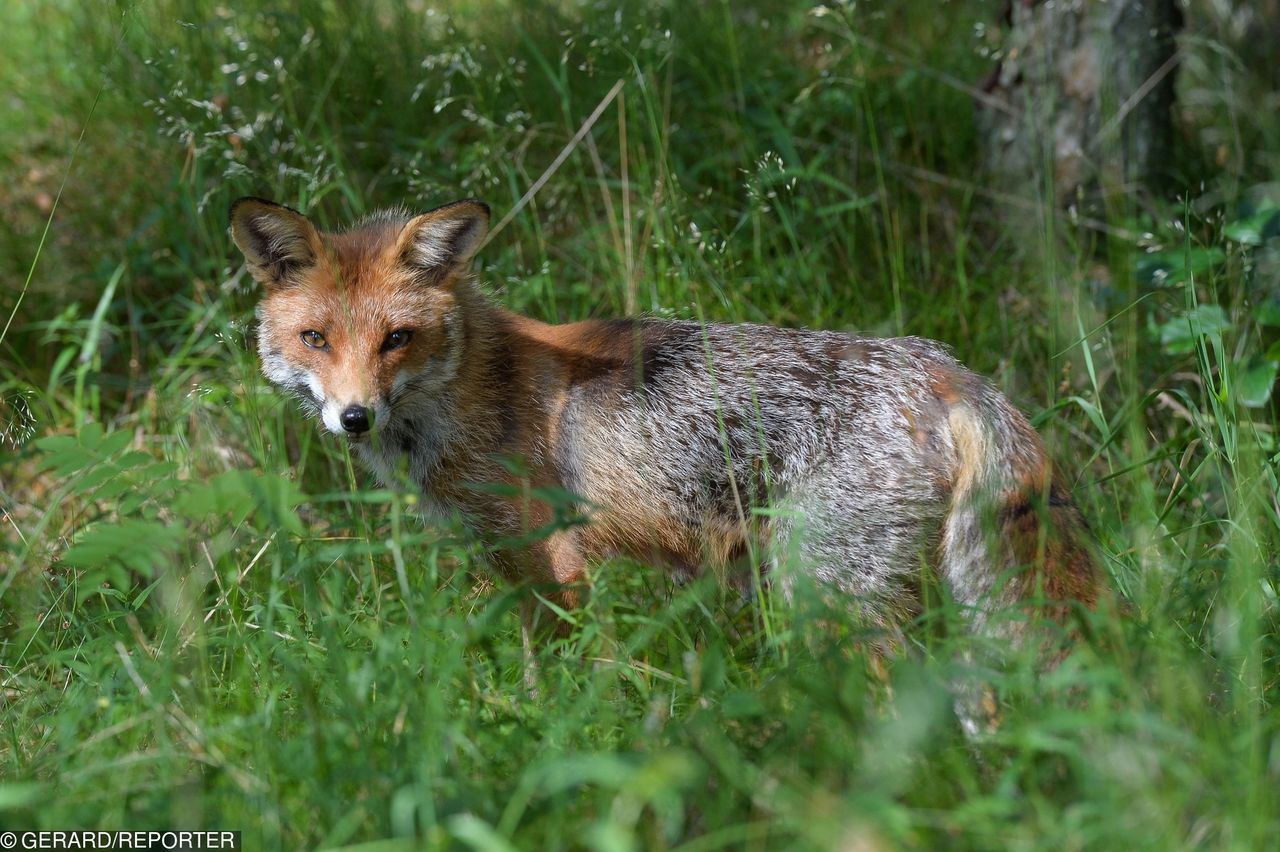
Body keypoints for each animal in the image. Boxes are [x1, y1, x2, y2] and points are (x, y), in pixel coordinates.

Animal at [227, 197, 1100, 654]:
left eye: (397, 339)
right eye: (316, 339)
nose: (354, 417)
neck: (477, 392)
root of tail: (948, 367)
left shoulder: (559, 561)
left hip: (827, 593)